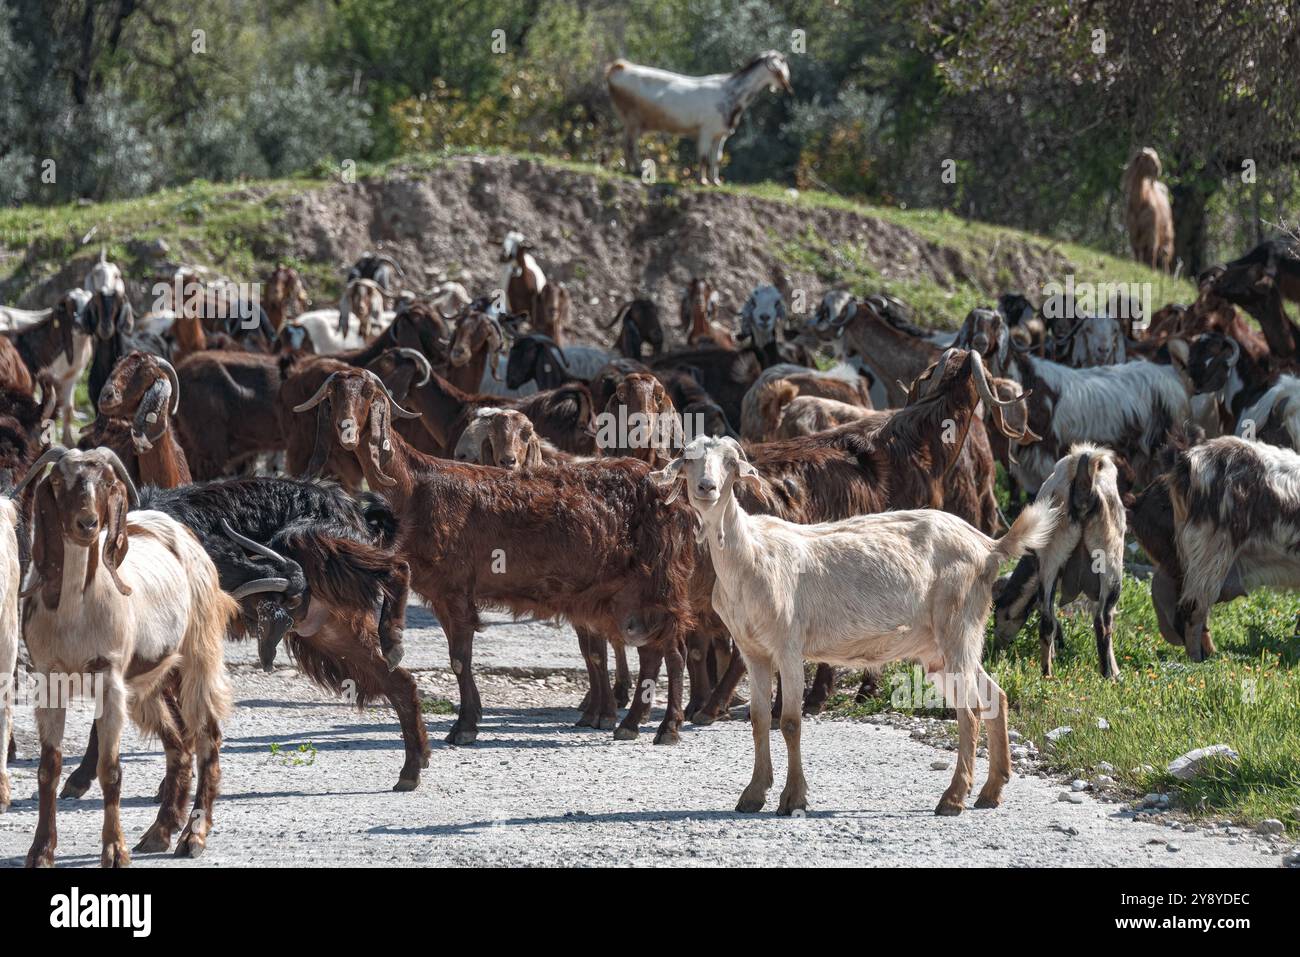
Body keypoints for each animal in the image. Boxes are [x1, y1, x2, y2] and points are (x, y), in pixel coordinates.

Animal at [18, 447, 236, 868]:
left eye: (106, 482)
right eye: (58, 481)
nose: (87, 524)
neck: (76, 614)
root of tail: (180, 532)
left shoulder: (110, 679)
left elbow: (111, 770)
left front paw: (114, 851)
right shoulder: (49, 678)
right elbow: (48, 768)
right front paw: (40, 851)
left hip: (199, 652)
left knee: (206, 737)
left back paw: (193, 835)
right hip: (148, 681)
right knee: (178, 744)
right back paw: (159, 832)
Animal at [295, 366, 702, 748]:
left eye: (367, 394)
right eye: (333, 395)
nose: (346, 431)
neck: (414, 487)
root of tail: (673, 493)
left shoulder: (456, 588)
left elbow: (460, 658)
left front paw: (464, 727)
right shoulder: (441, 593)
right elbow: (457, 657)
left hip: (661, 580)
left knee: (674, 650)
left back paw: (667, 728)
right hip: (632, 592)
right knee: (652, 649)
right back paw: (629, 724)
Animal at [605, 51, 790, 187]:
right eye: (780, 65)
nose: (786, 85)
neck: (731, 92)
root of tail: (619, 67)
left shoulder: (720, 134)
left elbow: (716, 159)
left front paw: (716, 181)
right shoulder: (706, 131)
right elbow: (703, 157)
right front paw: (703, 181)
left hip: (630, 122)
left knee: (625, 142)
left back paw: (629, 169)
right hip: (633, 119)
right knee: (630, 144)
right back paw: (636, 169)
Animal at [650, 436, 1055, 816]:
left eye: (731, 463)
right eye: (689, 460)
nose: (706, 487)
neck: (749, 554)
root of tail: (988, 546)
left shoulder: (788, 645)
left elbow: (790, 722)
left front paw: (792, 798)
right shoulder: (753, 651)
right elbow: (759, 719)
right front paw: (753, 794)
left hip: (958, 624)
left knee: (969, 712)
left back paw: (953, 798)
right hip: (941, 647)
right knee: (994, 697)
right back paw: (991, 791)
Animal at [993, 444, 1128, 676]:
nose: (996, 647)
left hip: (1071, 558)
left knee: (1056, 620)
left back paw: (1052, 673)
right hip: (1100, 557)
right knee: (1099, 621)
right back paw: (1103, 675)